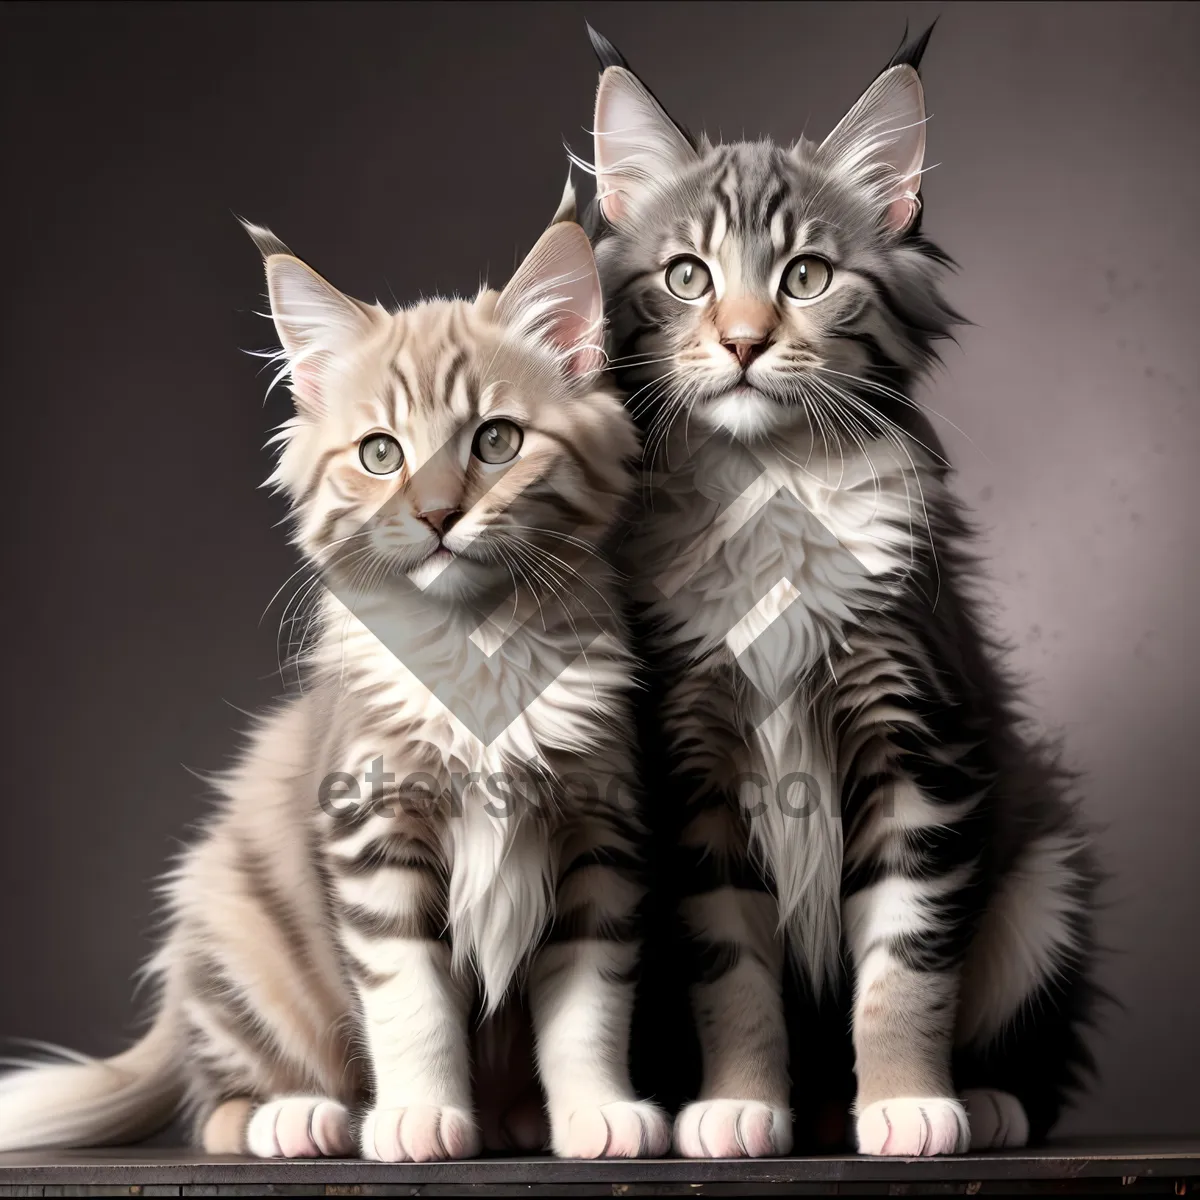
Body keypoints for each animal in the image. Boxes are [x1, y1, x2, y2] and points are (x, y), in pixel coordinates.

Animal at [0, 216, 676, 1161]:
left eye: (496, 441)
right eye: (381, 454)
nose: (437, 515)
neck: (477, 646)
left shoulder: (599, 833)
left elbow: (590, 1003)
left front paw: (597, 1112)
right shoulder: (373, 832)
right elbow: (410, 1001)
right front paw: (421, 1117)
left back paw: (517, 1118)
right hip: (240, 923)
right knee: (216, 1107)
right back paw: (299, 1117)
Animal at [576, 23, 1099, 1156]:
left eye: (808, 275)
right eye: (687, 276)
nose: (742, 341)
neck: (767, 483)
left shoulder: (919, 739)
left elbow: (908, 960)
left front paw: (908, 1102)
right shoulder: (695, 770)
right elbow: (730, 969)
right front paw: (738, 1104)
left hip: (1047, 874)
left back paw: (981, 1101)